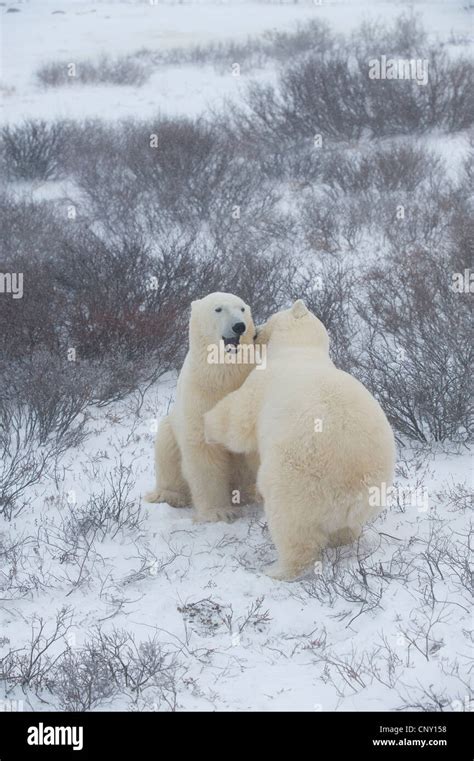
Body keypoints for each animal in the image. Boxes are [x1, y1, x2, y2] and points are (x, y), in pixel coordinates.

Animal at [146, 290, 262, 524]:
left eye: (242, 308)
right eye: (218, 309)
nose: (239, 326)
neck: (223, 376)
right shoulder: (200, 396)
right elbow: (204, 449)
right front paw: (219, 512)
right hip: (171, 428)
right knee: (166, 449)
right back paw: (169, 496)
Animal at [206, 300, 394, 580]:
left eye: (270, 317)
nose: (254, 331)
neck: (300, 349)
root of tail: (352, 489)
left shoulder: (261, 384)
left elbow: (238, 421)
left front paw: (206, 424)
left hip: (296, 482)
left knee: (291, 529)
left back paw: (278, 569)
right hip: (366, 499)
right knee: (346, 529)